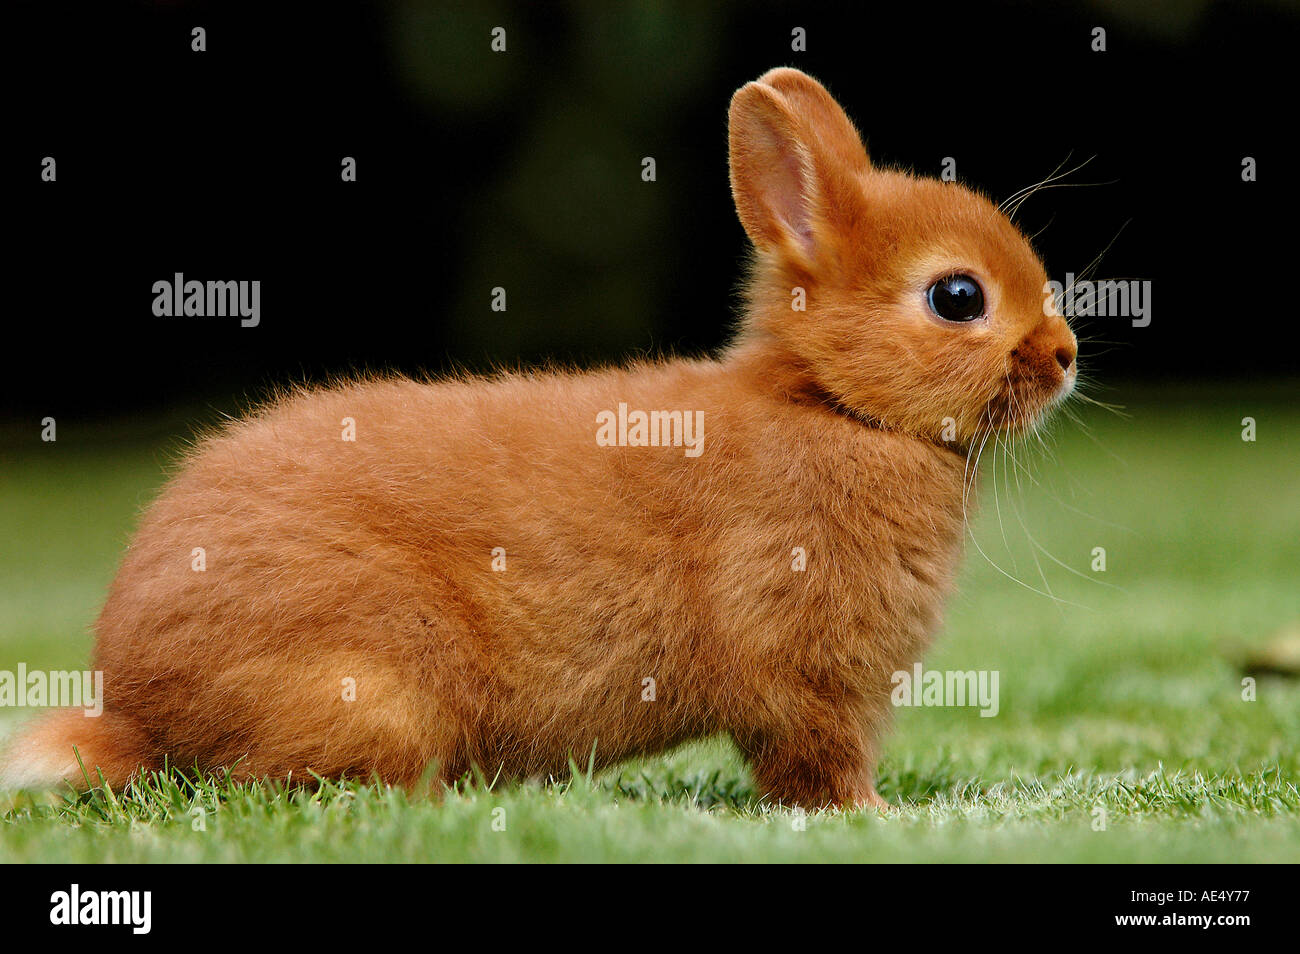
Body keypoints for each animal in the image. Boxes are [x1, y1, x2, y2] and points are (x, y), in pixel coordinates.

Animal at [0, 67, 1076, 811]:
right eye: (957, 298)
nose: (1065, 356)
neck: (833, 405)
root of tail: (133, 710)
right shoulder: (806, 675)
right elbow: (815, 762)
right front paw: (873, 814)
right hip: (369, 686)